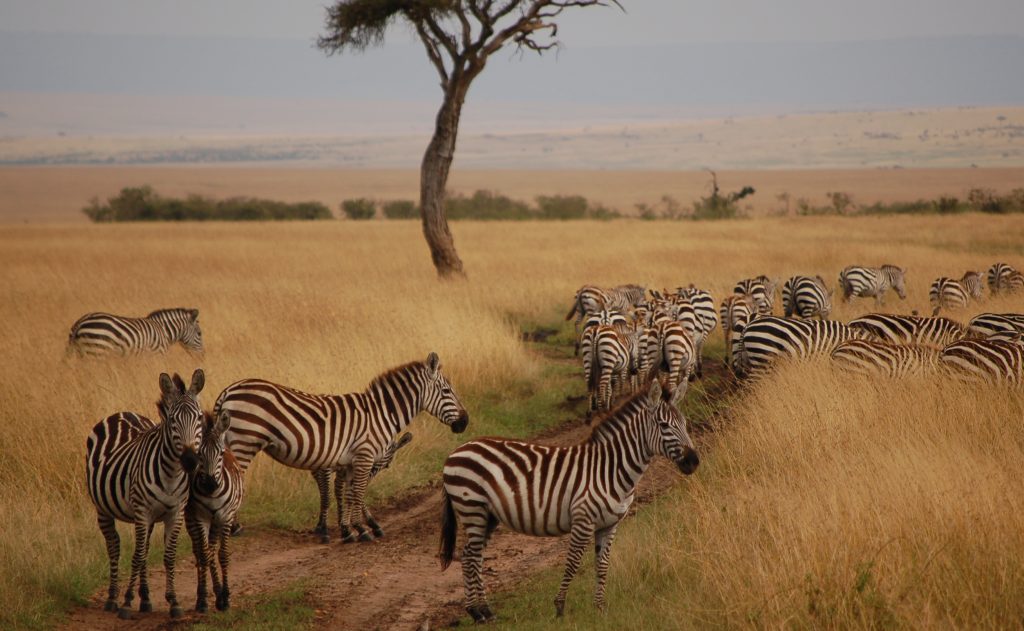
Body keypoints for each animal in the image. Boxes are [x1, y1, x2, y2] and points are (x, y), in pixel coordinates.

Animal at [68, 308, 203, 357]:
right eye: (200, 334)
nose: (202, 357)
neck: (163, 331)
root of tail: (81, 322)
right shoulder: (156, 355)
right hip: (98, 350)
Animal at [85, 369, 205, 619]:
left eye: (199, 418)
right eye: (172, 420)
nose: (190, 461)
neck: (171, 474)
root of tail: (122, 412)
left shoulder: (175, 513)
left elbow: (168, 556)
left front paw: (173, 601)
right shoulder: (142, 511)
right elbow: (138, 555)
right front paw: (127, 602)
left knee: (145, 547)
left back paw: (146, 599)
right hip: (103, 508)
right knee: (114, 546)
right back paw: (113, 598)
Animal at [186, 410, 244, 613]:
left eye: (220, 453)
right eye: (199, 454)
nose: (210, 485)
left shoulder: (225, 517)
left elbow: (222, 555)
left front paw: (225, 597)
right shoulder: (200, 517)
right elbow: (204, 555)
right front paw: (203, 600)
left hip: (217, 521)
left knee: (212, 550)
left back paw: (219, 594)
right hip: (192, 520)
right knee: (201, 551)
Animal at [215, 354, 467, 543]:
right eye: (447, 392)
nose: (465, 422)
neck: (381, 413)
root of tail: (228, 390)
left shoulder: (349, 461)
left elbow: (347, 493)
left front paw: (348, 530)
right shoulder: (365, 455)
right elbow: (358, 492)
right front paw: (361, 530)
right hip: (244, 441)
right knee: (234, 479)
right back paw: (234, 526)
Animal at [439, 381, 699, 621]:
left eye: (684, 424)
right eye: (664, 425)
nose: (694, 462)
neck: (610, 469)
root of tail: (457, 450)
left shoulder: (610, 525)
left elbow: (602, 565)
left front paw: (600, 608)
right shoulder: (583, 520)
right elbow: (573, 562)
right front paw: (559, 607)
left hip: (488, 515)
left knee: (470, 555)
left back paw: (480, 611)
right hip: (472, 508)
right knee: (472, 557)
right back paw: (480, 611)